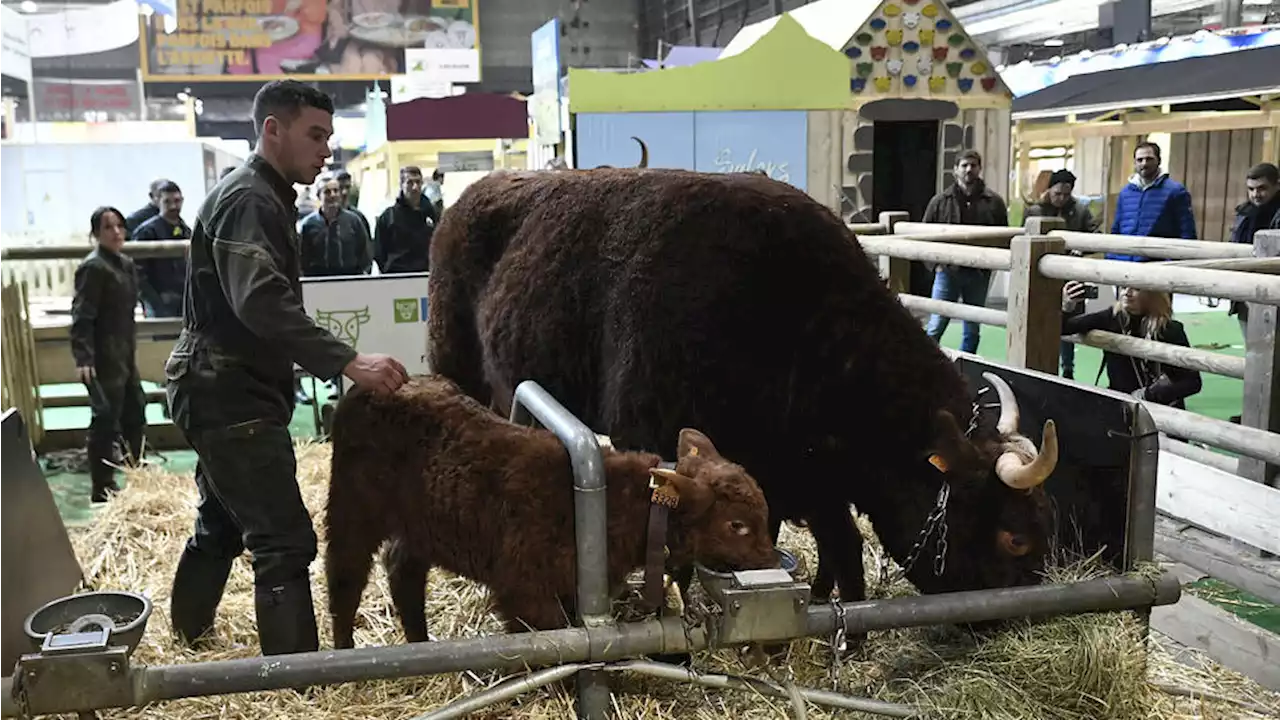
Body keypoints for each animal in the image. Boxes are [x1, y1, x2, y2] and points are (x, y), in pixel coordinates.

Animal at [424, 166, 1054, 599]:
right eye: (1014, 538)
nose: (1011, 618)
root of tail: (469, 197)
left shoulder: (806, 475)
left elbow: (837, 548)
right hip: (461, 371)